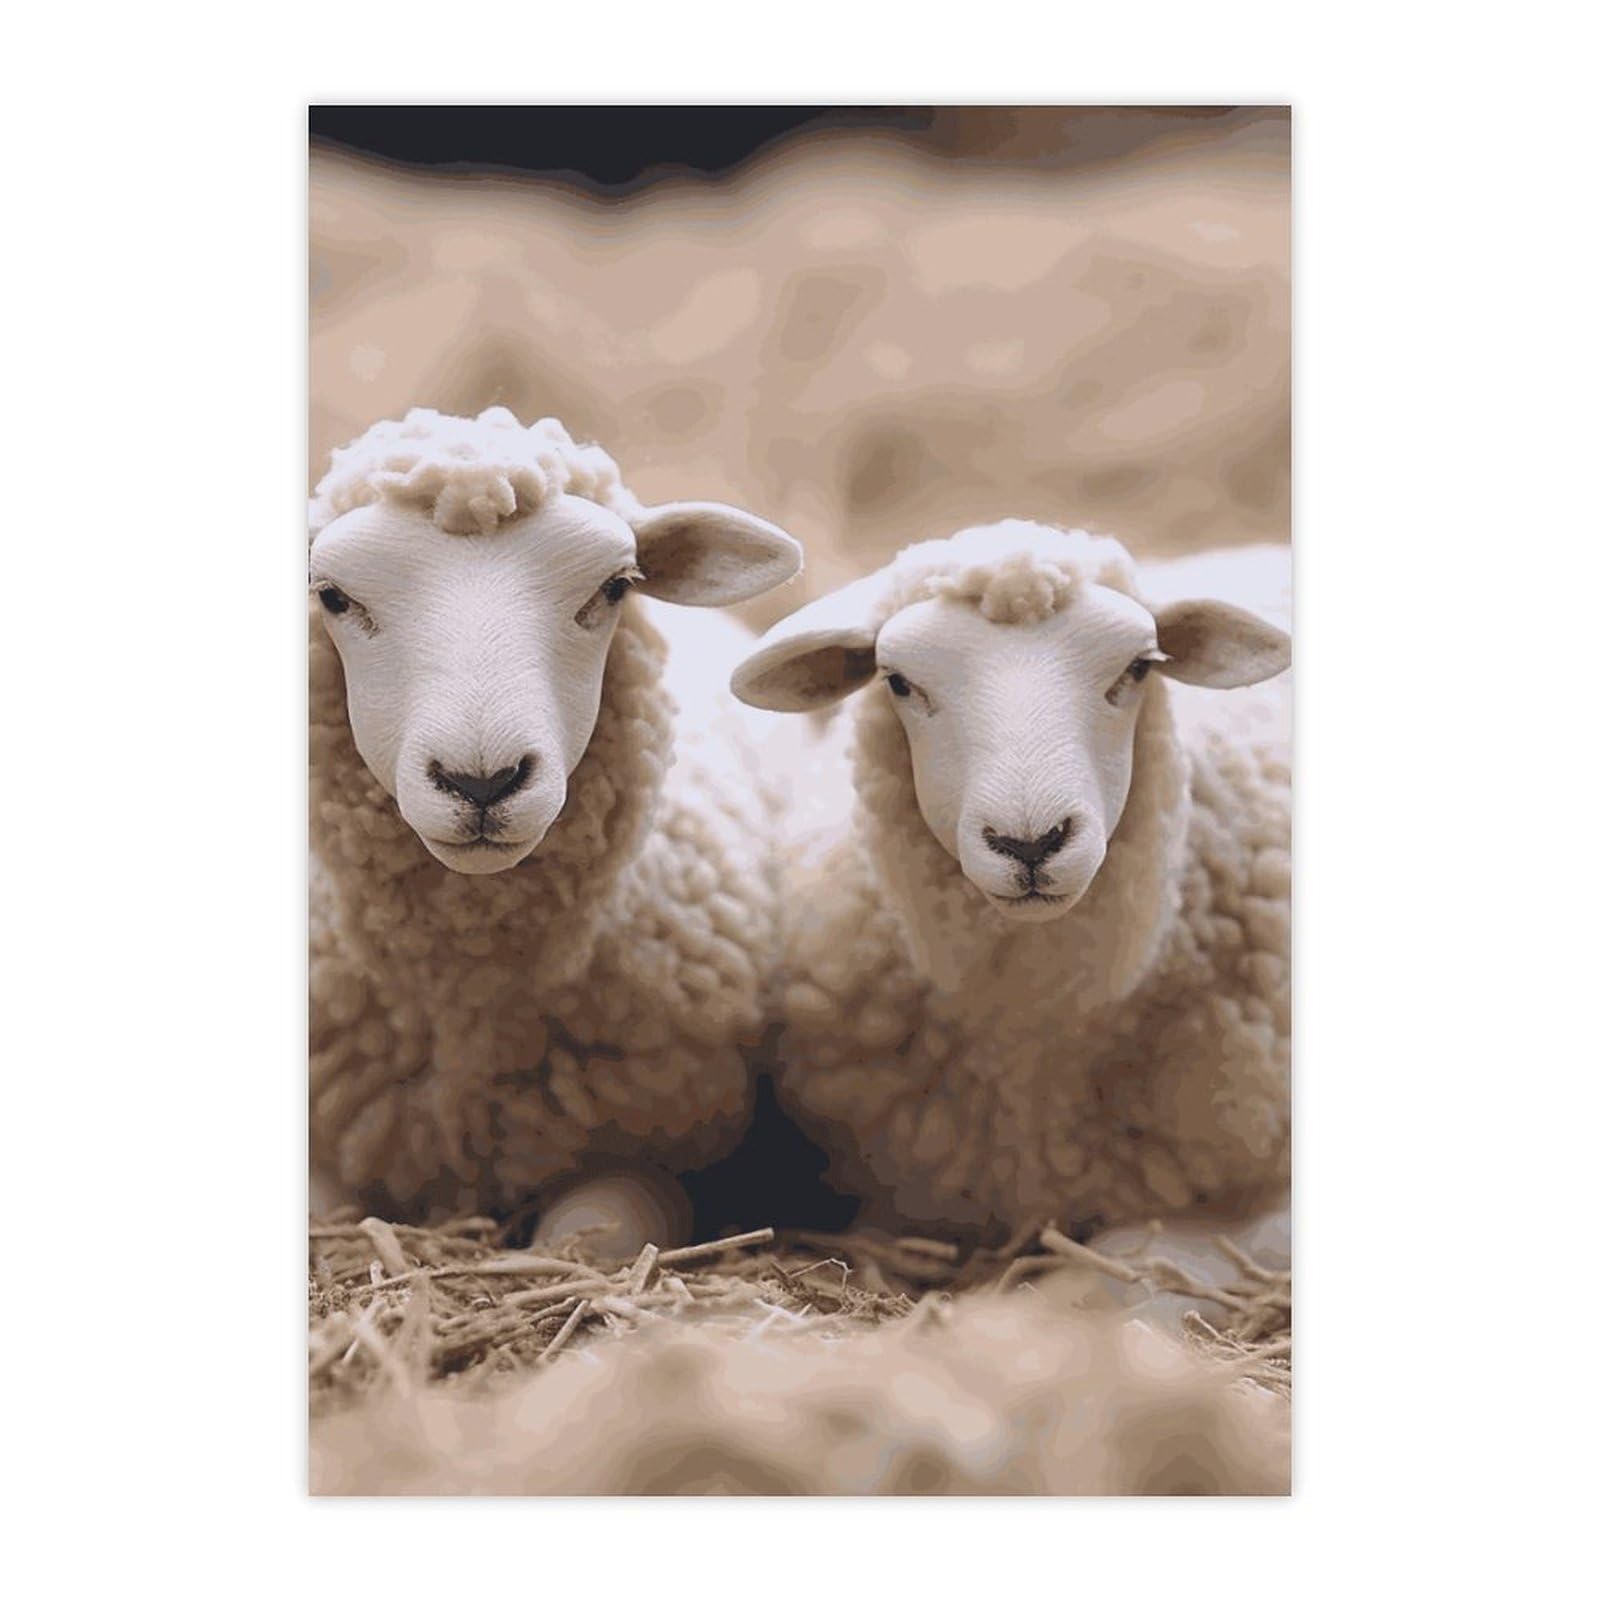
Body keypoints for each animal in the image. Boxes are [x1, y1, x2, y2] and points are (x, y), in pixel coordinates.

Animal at [310, 406, 802, 1234]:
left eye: (615, 587)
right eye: (334, 598)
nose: (481, 781)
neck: (471, 1003)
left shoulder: (654, 1152)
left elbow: (589, 1240)